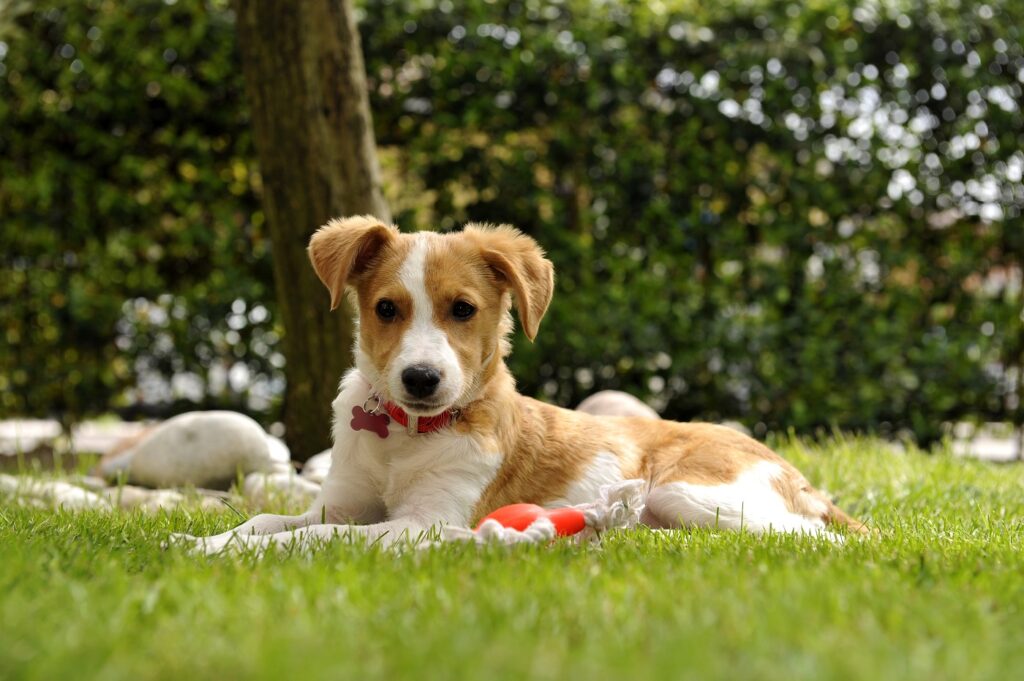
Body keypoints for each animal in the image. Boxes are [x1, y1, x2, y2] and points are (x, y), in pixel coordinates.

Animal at [186, 218, 864, 552]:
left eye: (463, 310)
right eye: (386, 309)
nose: (421, 379)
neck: (405, 437)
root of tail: (794, 471)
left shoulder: (424, 521)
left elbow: (317, 536)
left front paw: (228, 554)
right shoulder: (343, 501)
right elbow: (271, 517)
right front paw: (204, 538)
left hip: (688, 492)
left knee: (817, 538)